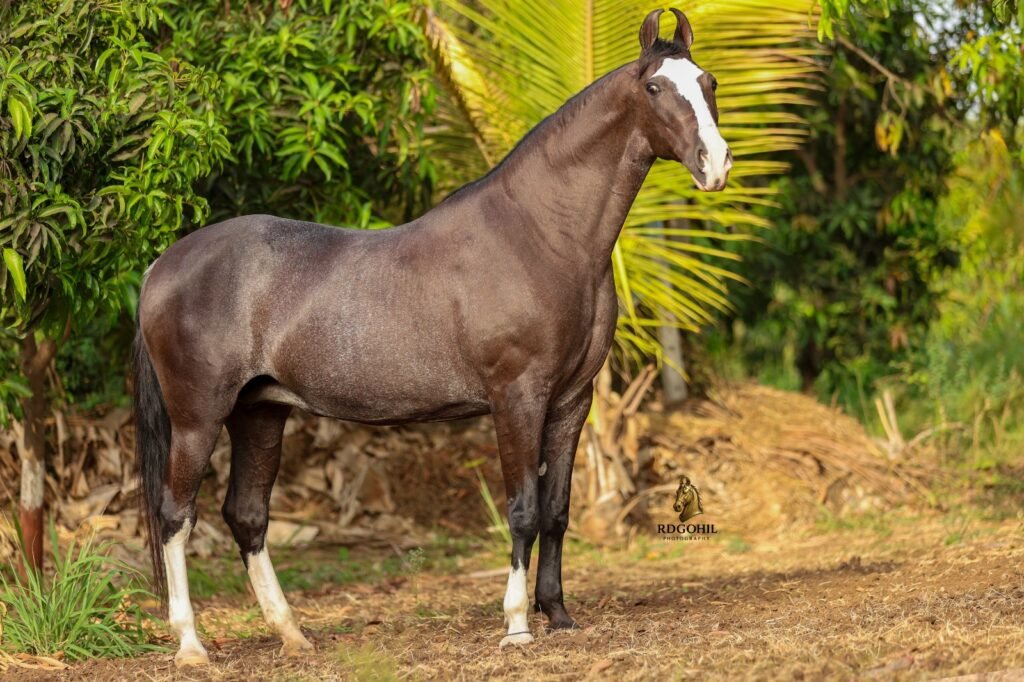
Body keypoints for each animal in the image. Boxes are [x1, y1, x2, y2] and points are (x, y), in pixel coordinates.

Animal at [133, 7, 731, 666]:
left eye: (708, 82)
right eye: (654, 87)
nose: (715, 163)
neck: (541, 235)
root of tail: (161, 266)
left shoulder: (573, 399)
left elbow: (557, 510)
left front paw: (559, 616)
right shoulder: (517, 398)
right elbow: (523, 509)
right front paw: (517, 625)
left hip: (259, 412)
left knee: (246, 515)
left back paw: (292, 634)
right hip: (199, 418)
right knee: (175, 515)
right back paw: (191, 645)